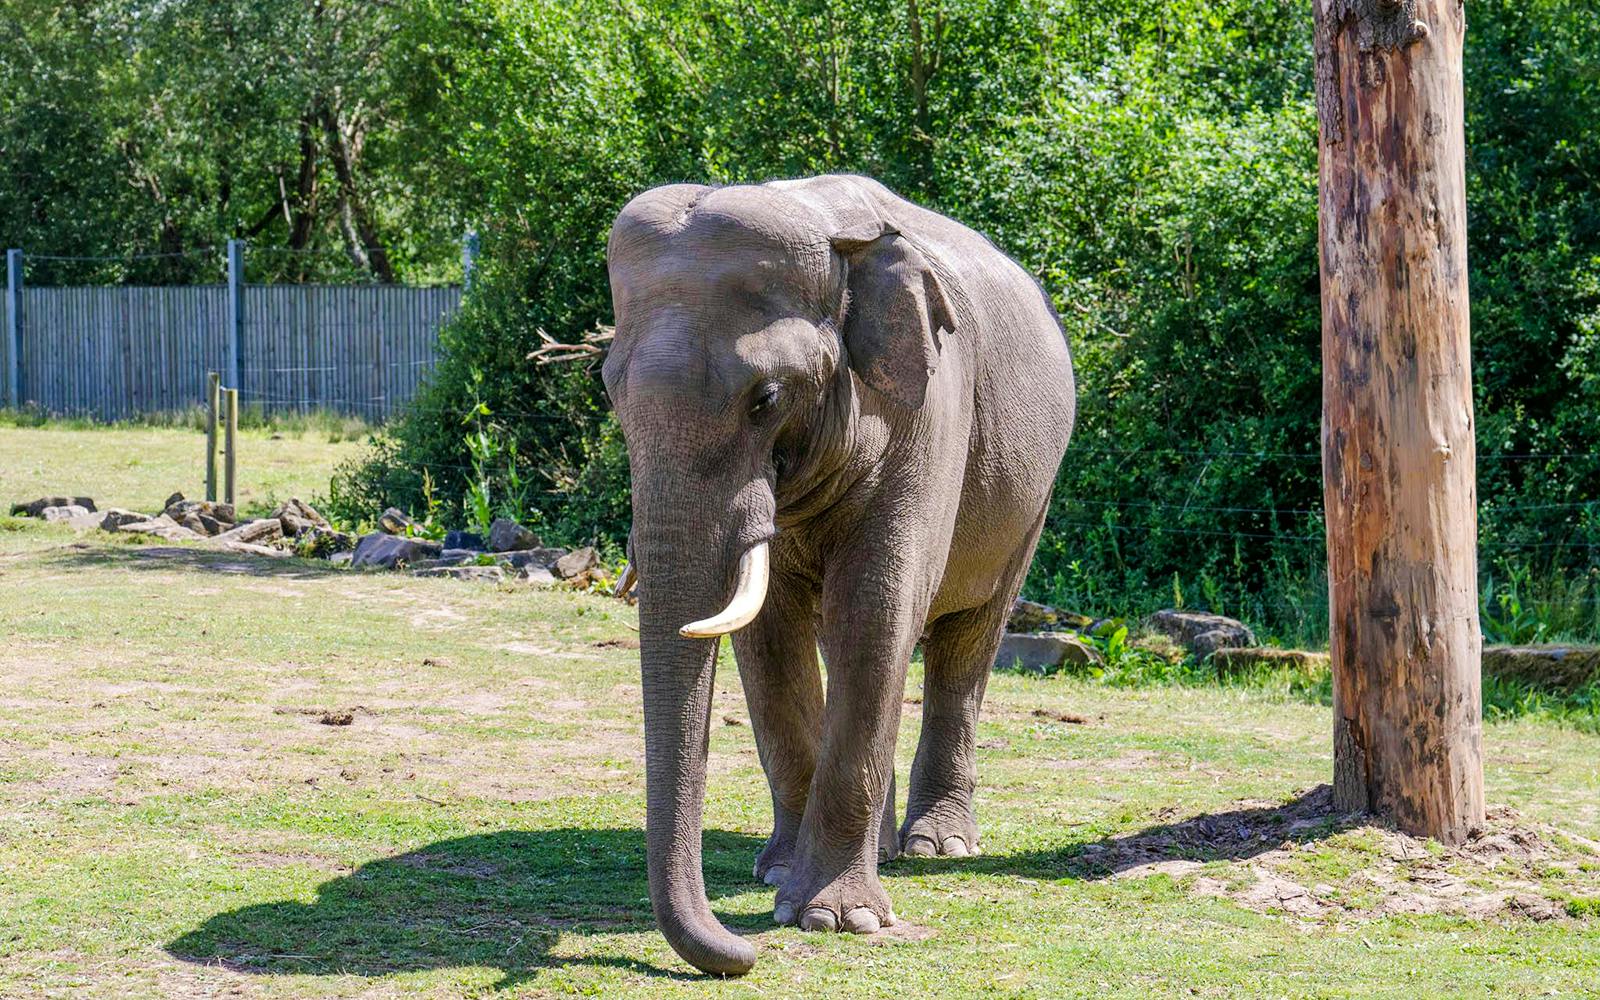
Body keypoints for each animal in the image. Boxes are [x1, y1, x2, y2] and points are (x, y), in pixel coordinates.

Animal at [603, 174, 1075, 975]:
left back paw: (938, 846)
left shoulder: (929, 414)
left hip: (1032, 498)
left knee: (967, 643)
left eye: (765, 398)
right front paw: (776, 877)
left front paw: (834, 919)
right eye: (608, 389)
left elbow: (878, 608)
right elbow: (769, 638)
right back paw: (881, 846)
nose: (742, 953)